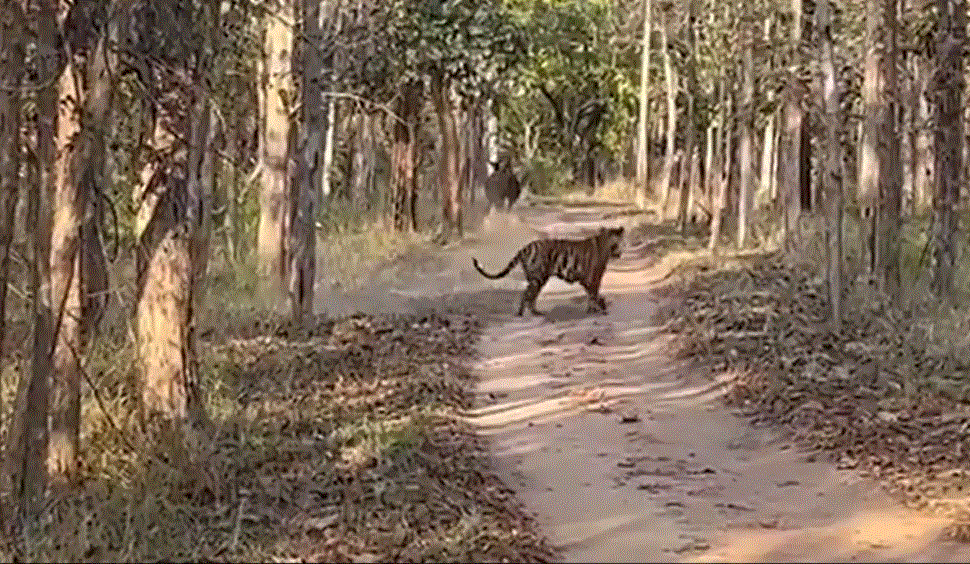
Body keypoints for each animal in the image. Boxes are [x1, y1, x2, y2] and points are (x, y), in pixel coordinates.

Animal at [473, 226, 625, 316]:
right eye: (616, 243)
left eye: (619, 242)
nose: (619, 252)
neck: (606, 246)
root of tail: (525, 247)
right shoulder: (594, 277)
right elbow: (594, 294)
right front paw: (597, 309)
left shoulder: (588, 279)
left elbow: (591, 295)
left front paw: (594, 309)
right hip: (537, 277)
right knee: (526, 294)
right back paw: (521, 313)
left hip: (539, 278)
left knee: (532, 296)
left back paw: (536, 312)